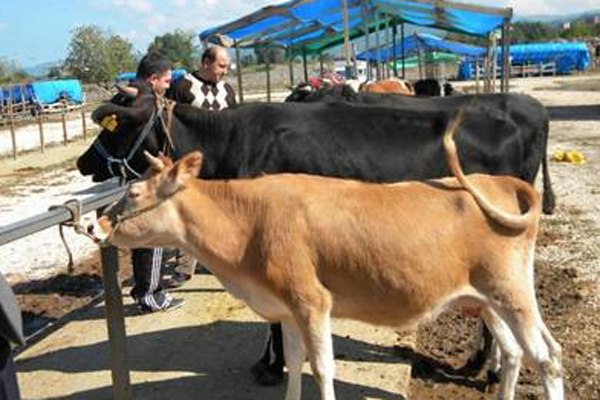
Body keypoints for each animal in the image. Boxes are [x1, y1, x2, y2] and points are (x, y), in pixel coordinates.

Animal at [77, 92, 556, 386]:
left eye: (112, 127)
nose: (82, 162)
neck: (234, 143)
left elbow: (276, 320)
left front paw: (270, 366)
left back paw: (485, 366)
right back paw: (485, 365)